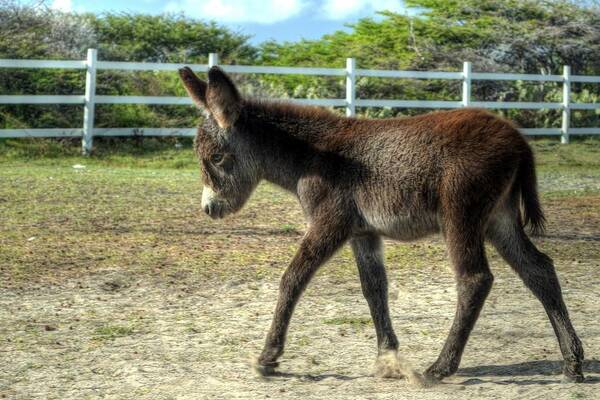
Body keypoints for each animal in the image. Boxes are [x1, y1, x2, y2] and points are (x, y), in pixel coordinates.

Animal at [180, 66, 584, 384]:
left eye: (217, 158)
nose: (209, 209)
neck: (311, 156)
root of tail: (519, 140)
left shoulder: (330, 222)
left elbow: (293, 279)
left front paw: (268, 358)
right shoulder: (364, 233)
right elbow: (375, 289)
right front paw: (387, 359)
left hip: (462, 214)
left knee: (474, 280)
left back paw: (441, 367)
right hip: (499, 218)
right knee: (538, 270)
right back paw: (573, 363)